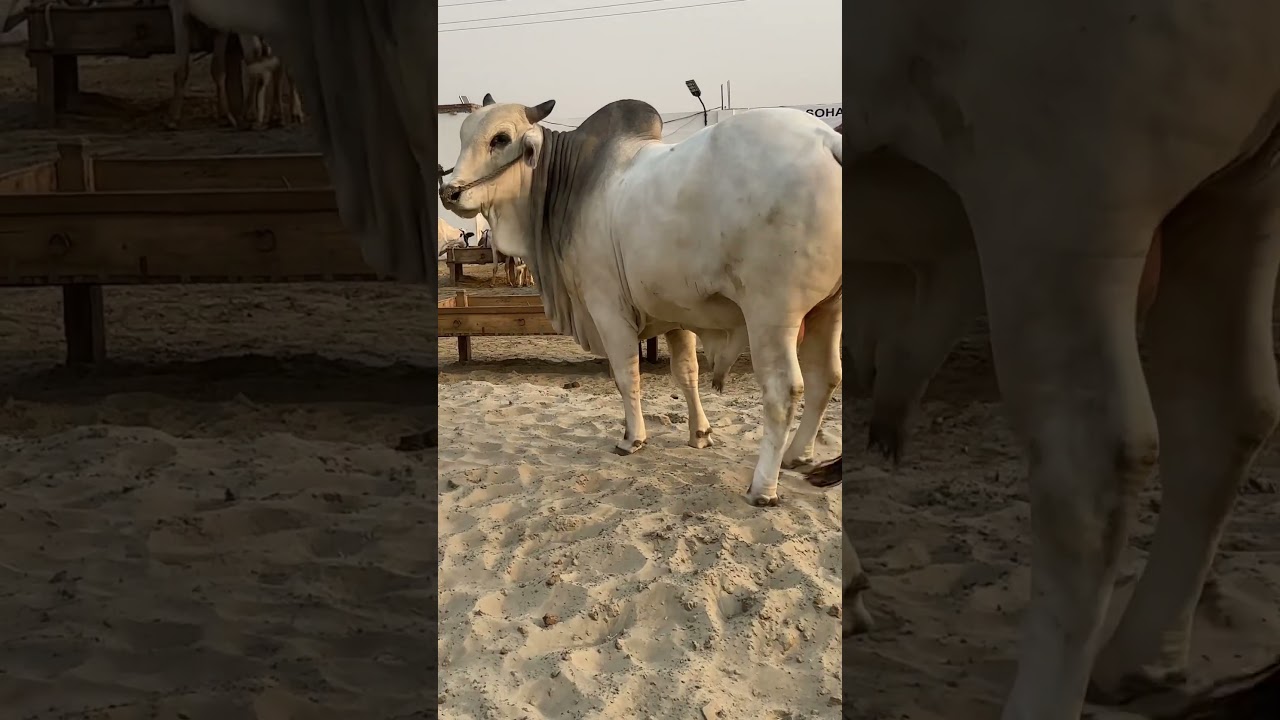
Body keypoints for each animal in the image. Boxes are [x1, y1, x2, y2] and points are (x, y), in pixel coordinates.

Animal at [440, 95, 842, 507]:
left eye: (500, 138)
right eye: (463, 135)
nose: (449, 192)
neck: (572, 183)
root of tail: (828, 139)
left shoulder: (607, 308)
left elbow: (626, 374)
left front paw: (633, 438)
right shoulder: (677, 313)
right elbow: (686, 373)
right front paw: (700, 434)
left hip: (771, 315)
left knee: (784, 390)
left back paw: (763, 486)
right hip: (828, 308)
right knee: (826, 376)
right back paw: (798, 455)